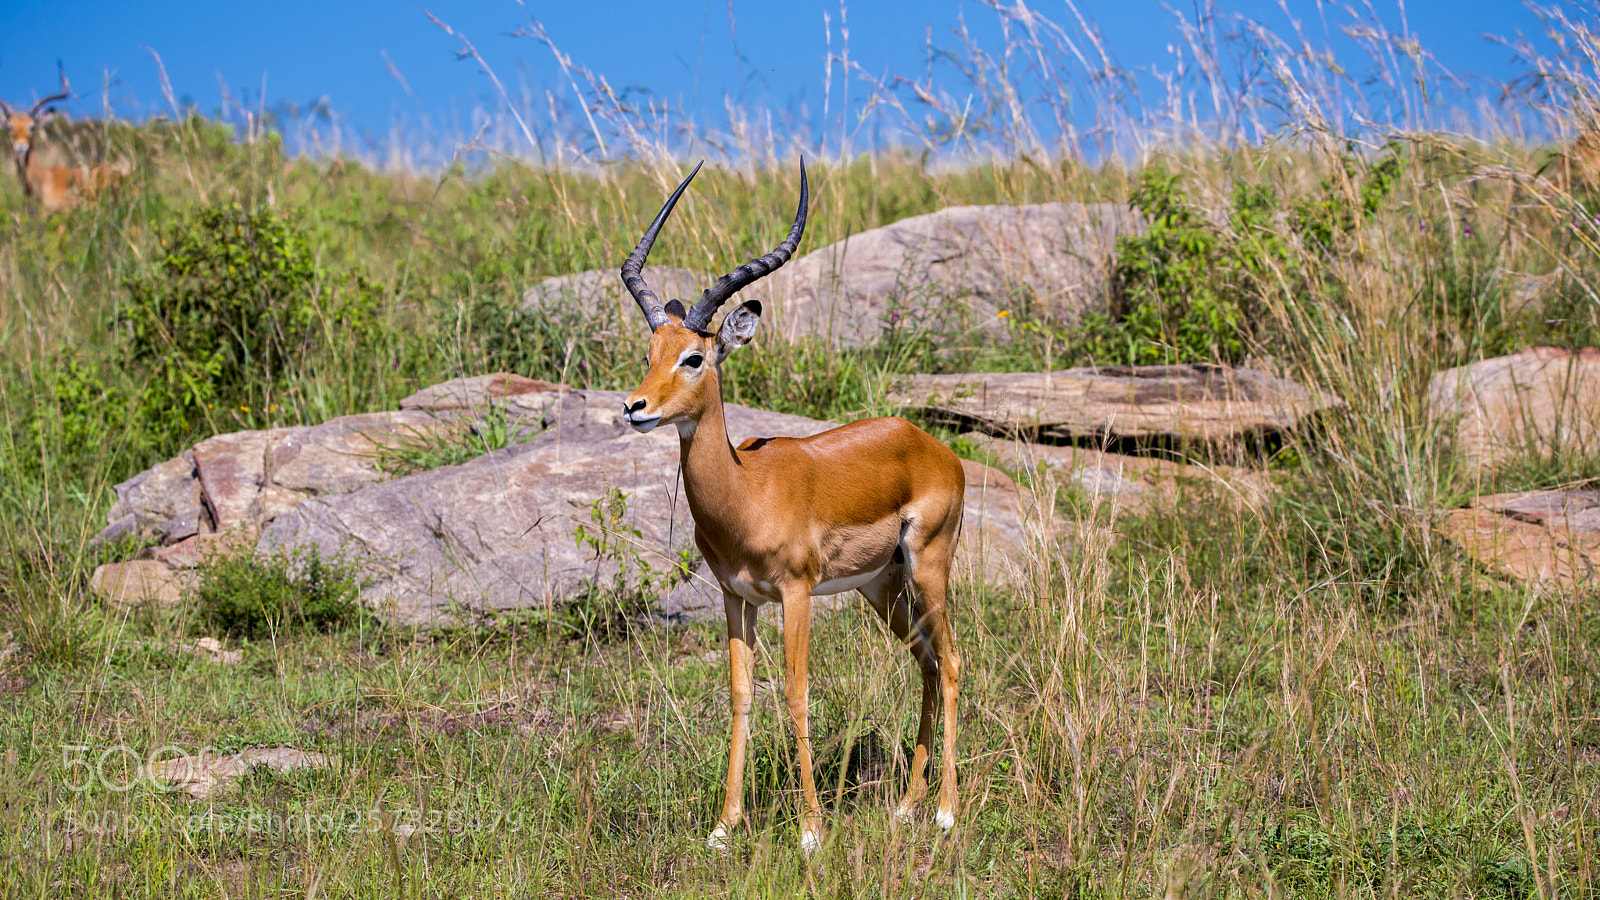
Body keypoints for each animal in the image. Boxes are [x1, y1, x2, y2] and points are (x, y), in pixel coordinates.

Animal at [619, 160, 968, 854]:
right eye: (650, 354)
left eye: (693, 357)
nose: (635, 407)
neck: (747, 490)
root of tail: (933, 447)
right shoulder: (738, 598)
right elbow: (741, 695)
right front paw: (724, 827)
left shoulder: (796, 593)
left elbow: (798, 692)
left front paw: (809, 832)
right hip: (883, 587)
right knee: (923, 662)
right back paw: (907, 805)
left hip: (929, 569)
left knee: (951, 662)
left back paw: (945, 812)